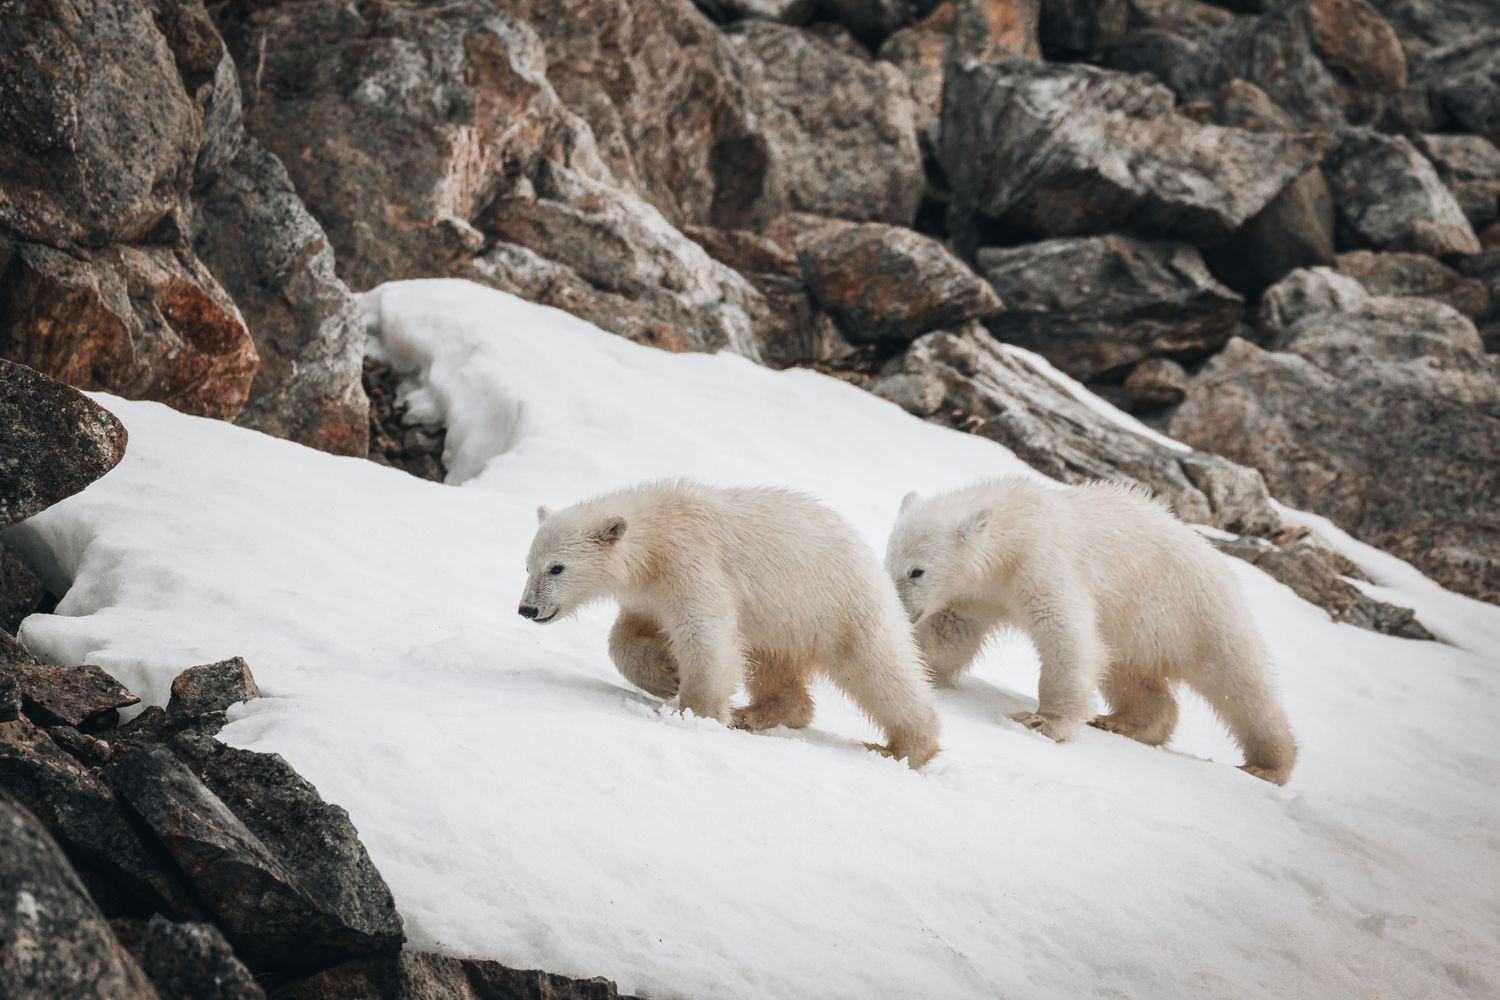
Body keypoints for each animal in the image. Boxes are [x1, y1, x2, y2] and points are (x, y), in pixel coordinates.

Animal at [517, 480, 942, 768]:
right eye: (528, 565)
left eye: (557, 567)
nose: (527, 609)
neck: (658, 533)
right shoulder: (649, 592)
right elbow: (629, 632)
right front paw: (665, 676)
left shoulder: (691, 562)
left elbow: (704, 633)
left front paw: (696, 714)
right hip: (782, 625)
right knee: (775, 669)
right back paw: (753, 714)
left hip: (839, 607)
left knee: (878, 669)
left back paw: (904, 747)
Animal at [884, 477, 1297, 785]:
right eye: (889, 564)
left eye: (917, 571)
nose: (900, 610)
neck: (1013, 528)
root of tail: (1221, 562)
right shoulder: (975, 593)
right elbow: (950, 632)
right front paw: (917, 666)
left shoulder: (1042, 562)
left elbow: (1065, 632)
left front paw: (1042, 721)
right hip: (1137, 629)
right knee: (1131, 676)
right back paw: (1122, 722)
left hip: (1197, 613)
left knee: (1239, 683)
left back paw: (1268, 764)